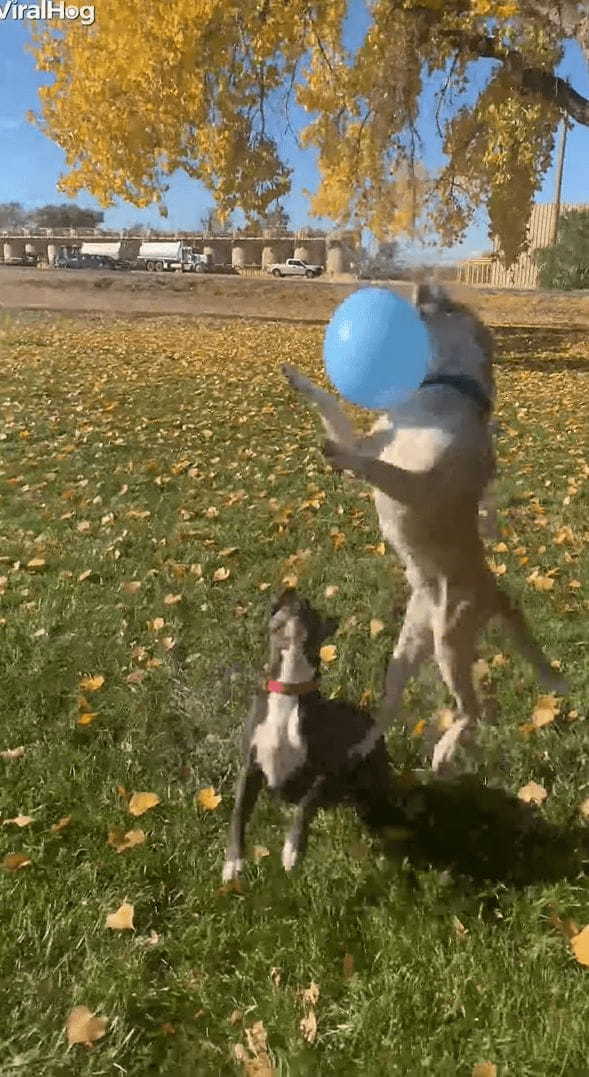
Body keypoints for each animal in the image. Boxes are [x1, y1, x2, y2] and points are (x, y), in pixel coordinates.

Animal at [221, 590, 404, 883]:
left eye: (311, 607)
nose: (292, 589)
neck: (289, 687)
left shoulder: (325, 770)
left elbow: (306, 804)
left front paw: (292, 849)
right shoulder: (250, 767)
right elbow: (238, 812)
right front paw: (233, 862)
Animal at [284, 280, 568, 766]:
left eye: (455, 304)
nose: (423, 282)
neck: (442, 390)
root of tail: (496, 592)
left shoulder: (418, 484)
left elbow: (375, 466)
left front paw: (339, 455)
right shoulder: (368, 441)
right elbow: (333, 410)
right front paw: (299, 380)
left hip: (450, 643)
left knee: (474, 709)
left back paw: (445, 751)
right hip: (408, 651)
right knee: (393, 707)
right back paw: (363, 749)